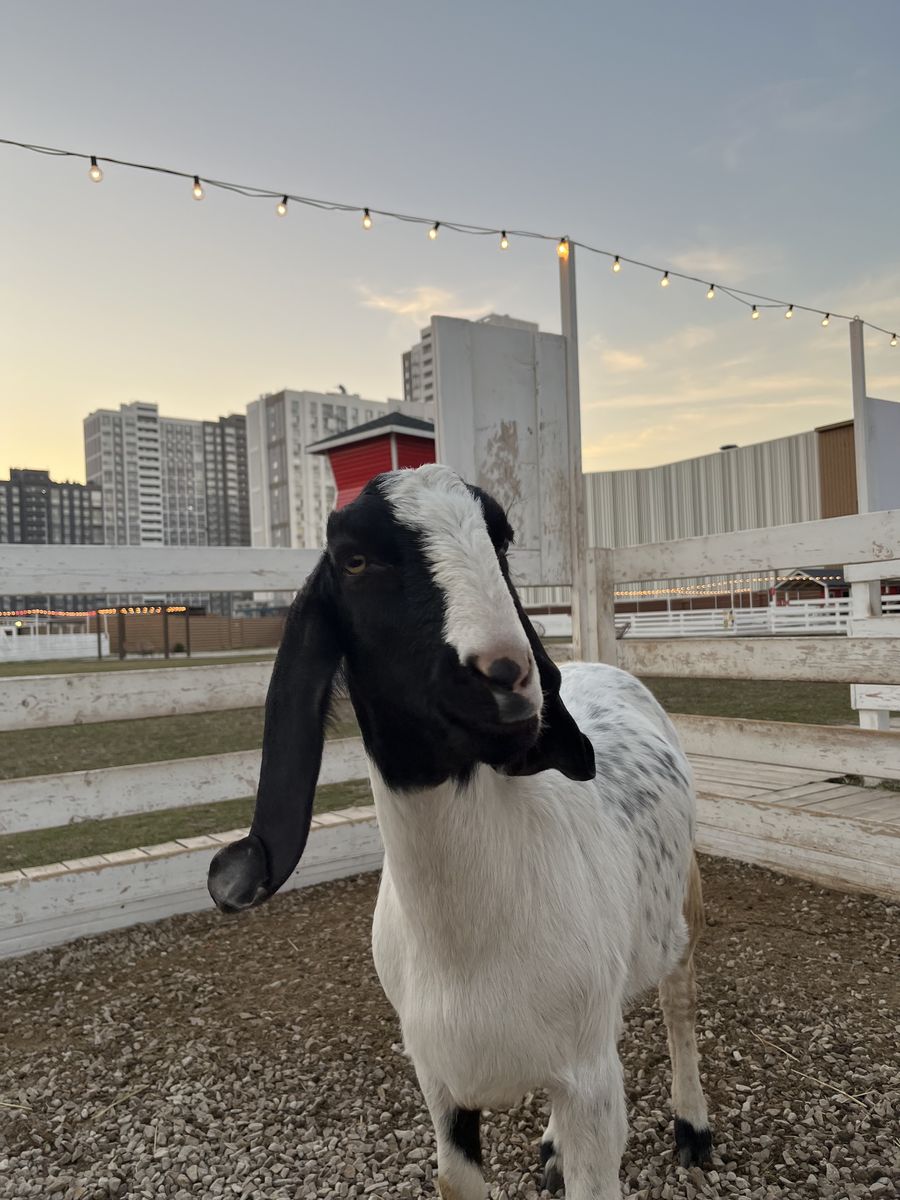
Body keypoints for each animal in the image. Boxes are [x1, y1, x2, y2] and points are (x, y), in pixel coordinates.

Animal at [208, 464, 712, 1199]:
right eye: (355, 559)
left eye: (501, 541)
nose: (506, 675)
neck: (466, 944)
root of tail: (598, 663)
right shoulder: (442, 1081)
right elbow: (455, 1177)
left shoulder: (592, 1087)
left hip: (678, 913)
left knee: (680, 1002)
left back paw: (693, 1126)